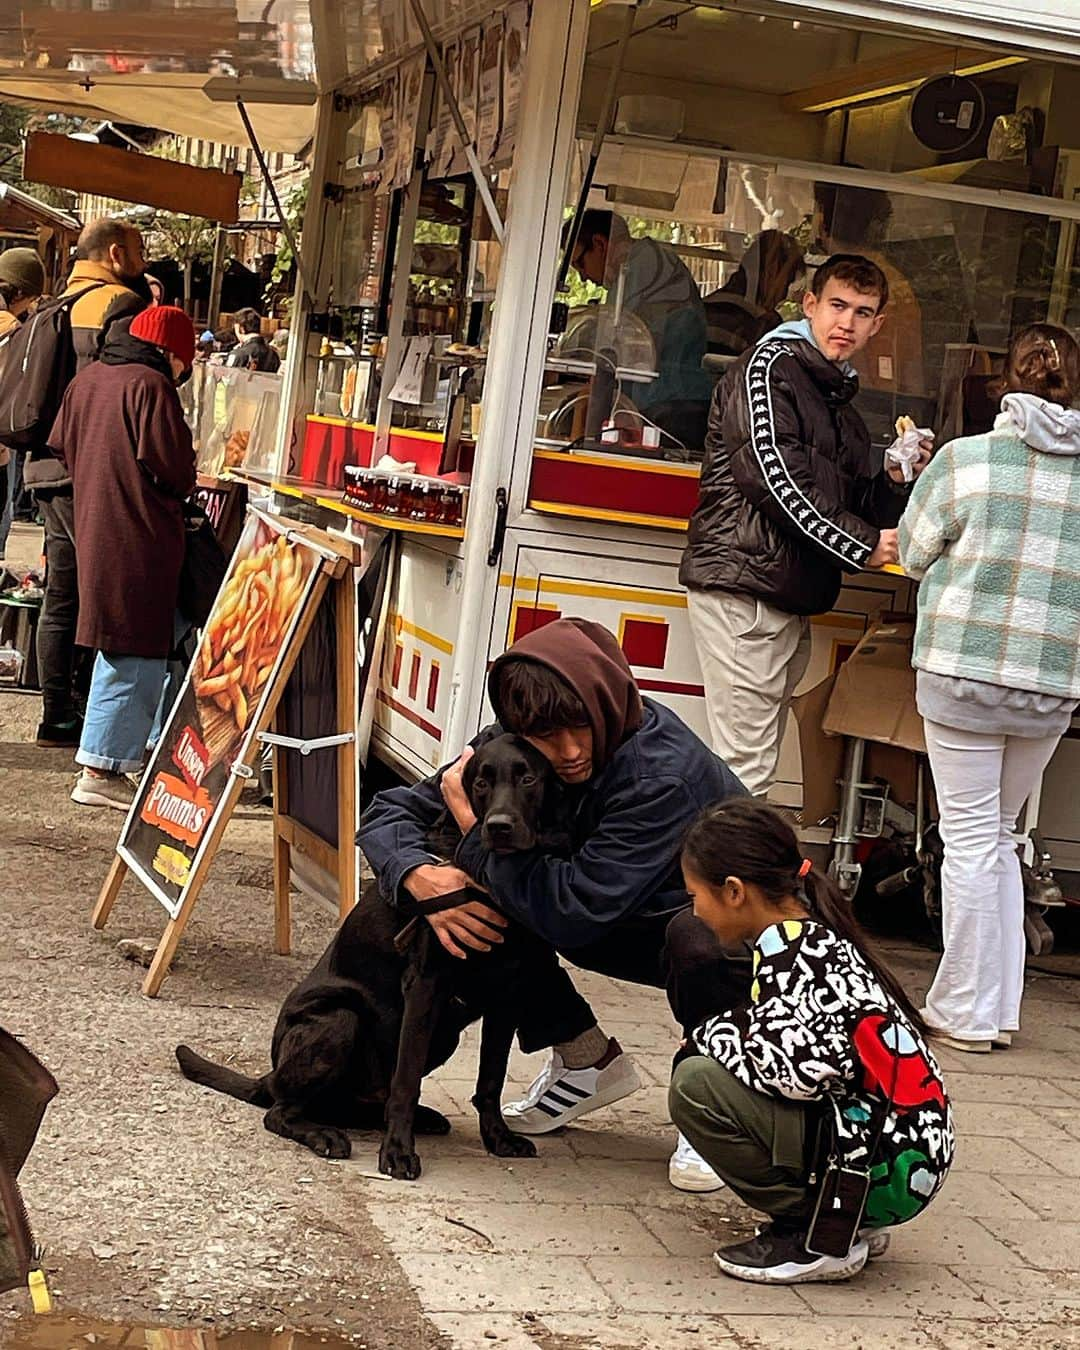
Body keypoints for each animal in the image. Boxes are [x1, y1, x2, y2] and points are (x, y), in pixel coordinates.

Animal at [175, 734, 564, 1177]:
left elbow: (491, 1078)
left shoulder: (509, 994)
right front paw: (397, 1152)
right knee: (281, 1111)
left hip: (442, 1035)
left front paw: (498, 1138)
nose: (499, 827)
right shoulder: (426, 985)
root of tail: (270, 1076)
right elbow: (406, 1082)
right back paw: (324, 1134)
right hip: (340, 1020)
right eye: (480, 783)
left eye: (529, 779)